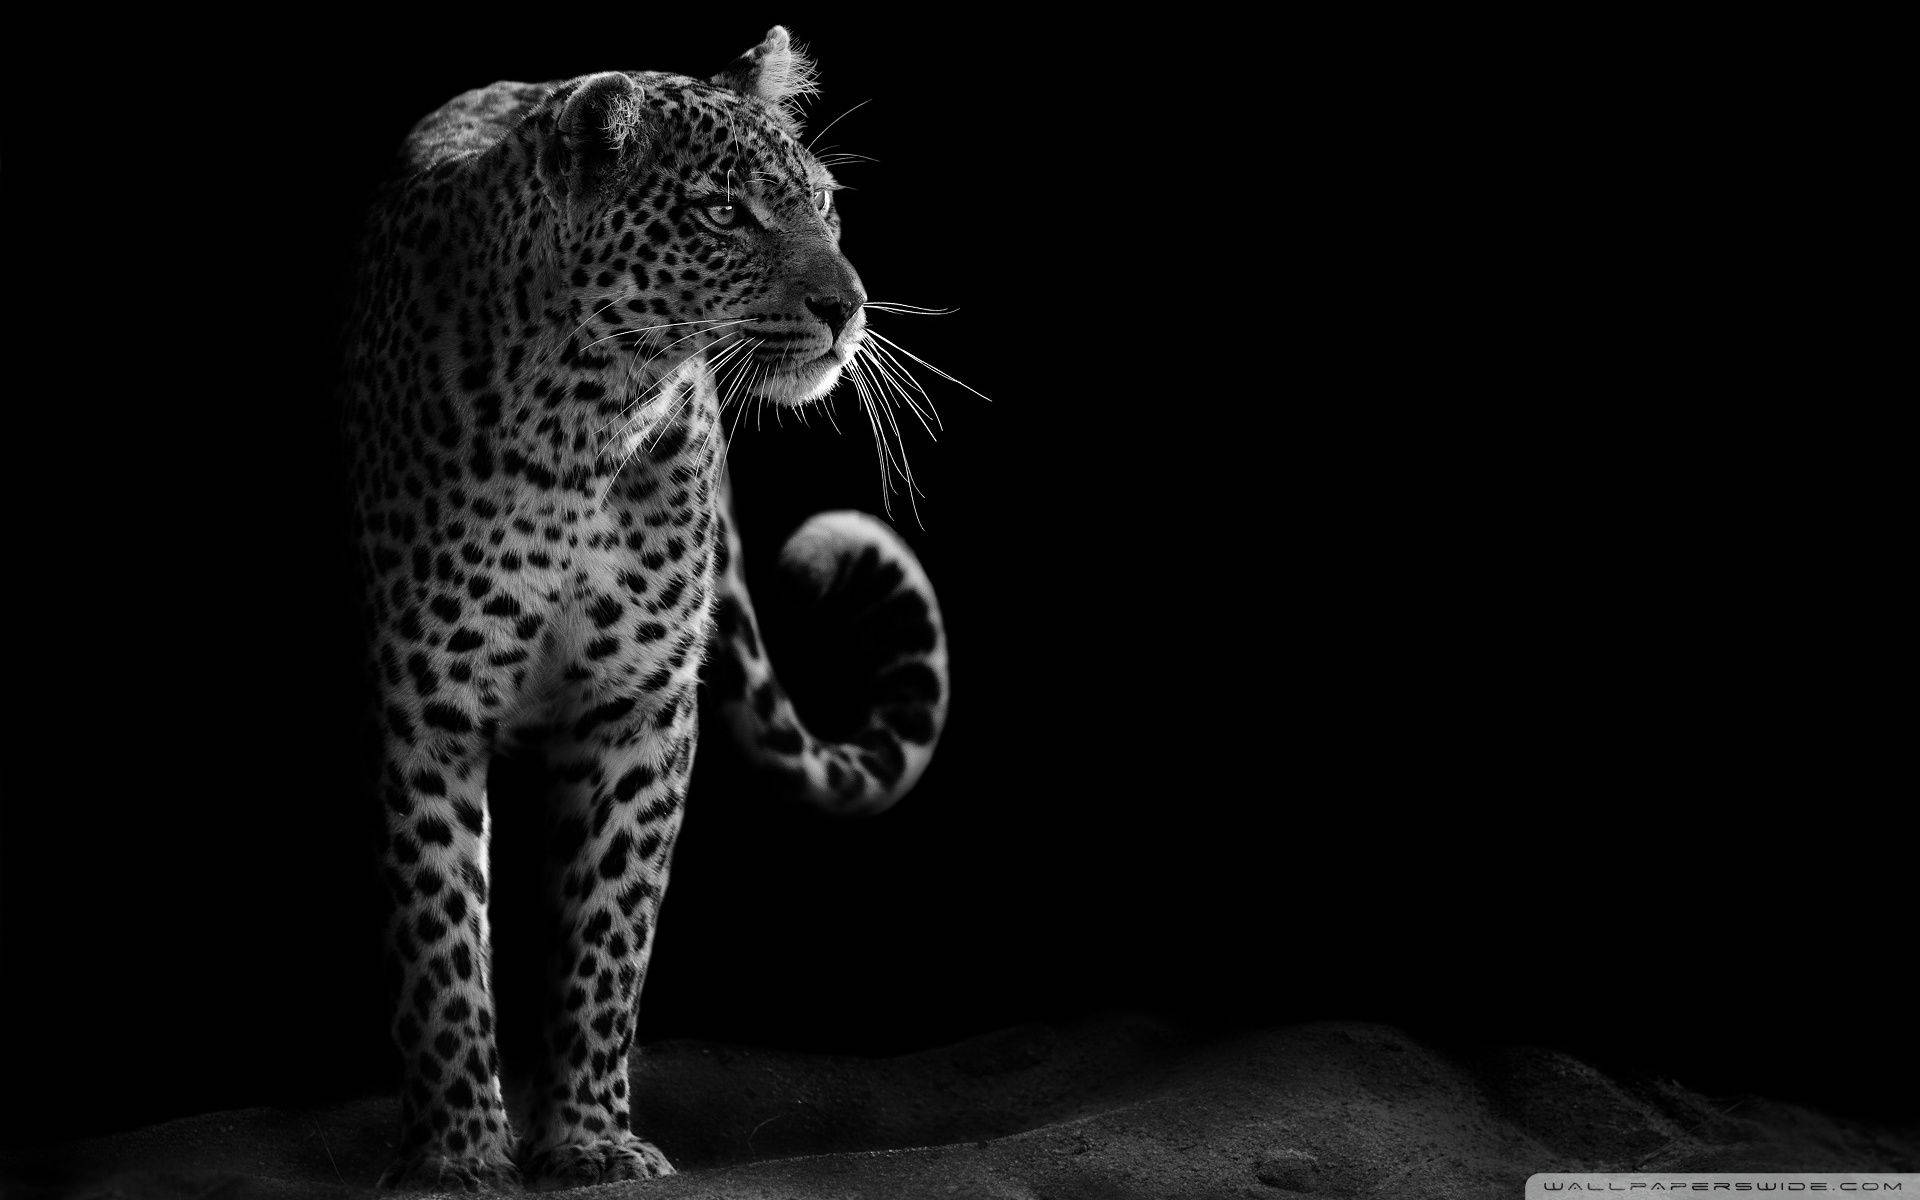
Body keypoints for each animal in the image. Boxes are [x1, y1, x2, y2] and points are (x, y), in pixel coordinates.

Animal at [339, 26, 950, 1189]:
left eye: (822, 201)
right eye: (723, 212)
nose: (847, 307)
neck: (586, 415)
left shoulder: (640, 708)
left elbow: (609, 931)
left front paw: (587, 1137)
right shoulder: (426, 703)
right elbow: (440, 933)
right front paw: (458, 1151)